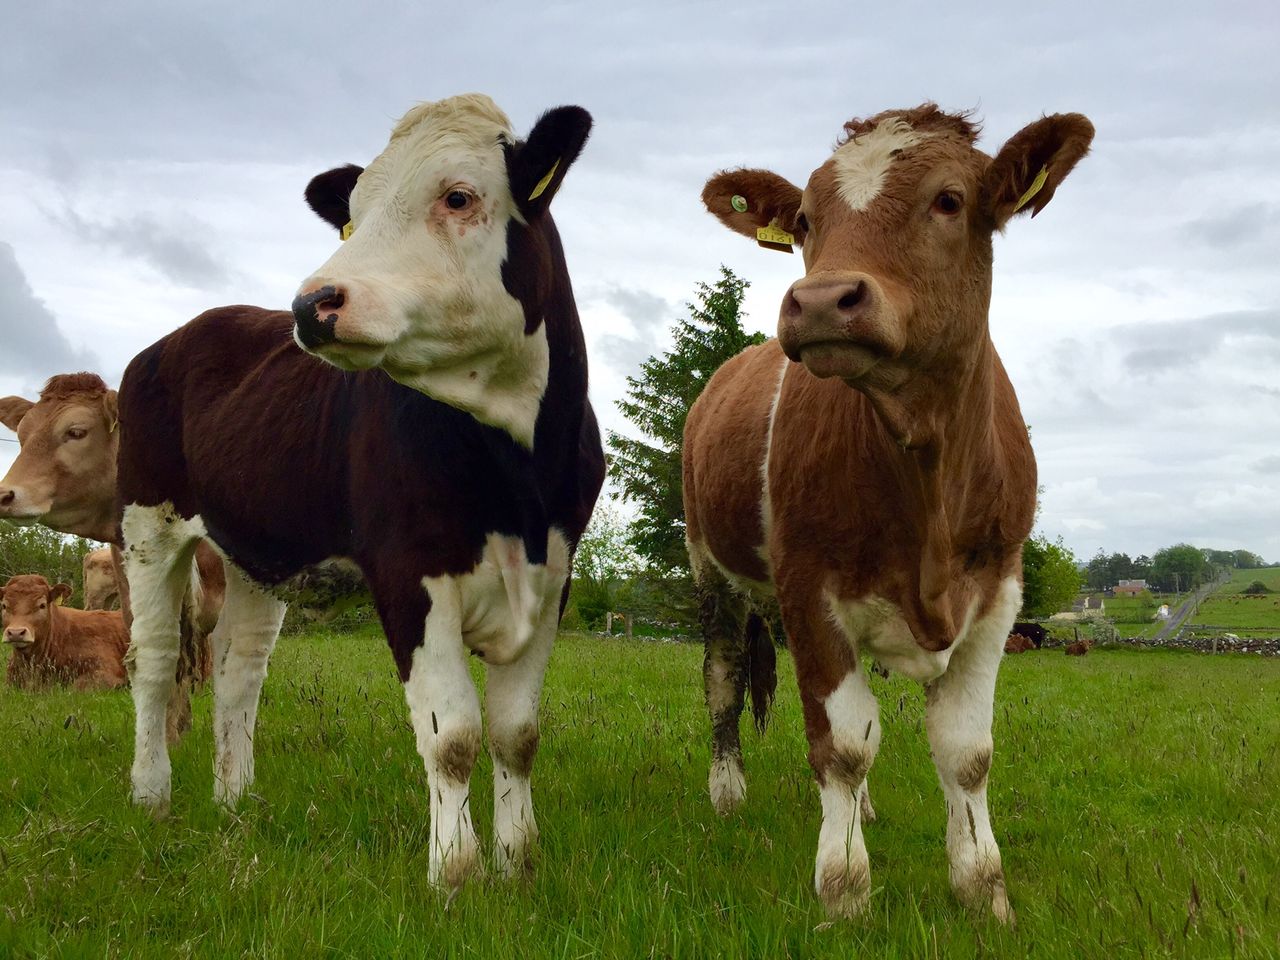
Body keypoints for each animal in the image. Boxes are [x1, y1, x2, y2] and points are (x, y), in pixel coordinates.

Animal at [116, 94, 604, 893]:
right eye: (352, 216)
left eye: (458, 196)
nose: (312, 303)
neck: (515, 478)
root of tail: (185, 331)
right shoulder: (408, 572)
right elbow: (454, 737)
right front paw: (454, 872)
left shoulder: (554, 570)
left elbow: (517, 733)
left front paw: (518, 862)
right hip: (146, 524)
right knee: (155, 659)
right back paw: (150, 794)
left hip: (257, 552)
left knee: (237, 667)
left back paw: (234, 801)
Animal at [684, 103, 1093, 921]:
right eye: (805, 220)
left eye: (949, 200)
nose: (819, 300)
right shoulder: (808, 586)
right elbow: (841, 744)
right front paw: (844, 889)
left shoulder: (998, 592)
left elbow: (966, 754)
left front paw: (983, 888)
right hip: (710, 564)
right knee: (724, 680)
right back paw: (728, 793)